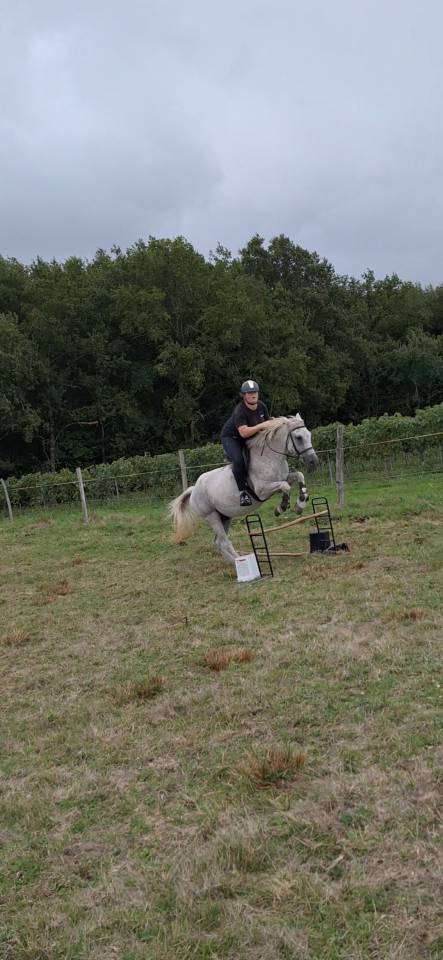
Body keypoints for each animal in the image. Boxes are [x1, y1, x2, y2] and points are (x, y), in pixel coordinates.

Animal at [169, 415, 319, 564]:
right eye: (299, 437)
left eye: (309, 435)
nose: (313, 461)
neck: (269, 458)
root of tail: (193, 490)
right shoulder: (262, 490)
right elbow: (285, 486)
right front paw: (281, 507)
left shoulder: (285, 477)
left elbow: (299, 475)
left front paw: (300, 503)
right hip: (212, 517)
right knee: (224, 542)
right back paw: (240, 562)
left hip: (225, 517)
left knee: (218, 542)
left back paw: (234, 562)